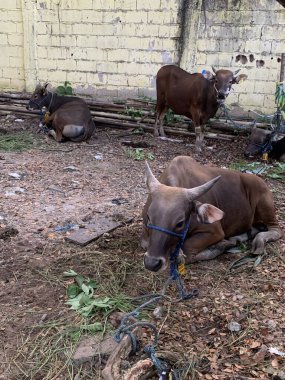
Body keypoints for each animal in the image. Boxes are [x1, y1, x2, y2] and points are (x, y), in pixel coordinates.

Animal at [141, 156, 280, 272]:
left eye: (180, 223)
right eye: (149, 218)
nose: (152, 263)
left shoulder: (214, 232)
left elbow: (186, 251)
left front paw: (221, 246)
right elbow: (146, 244)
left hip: (265, 206)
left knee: (276, 230)